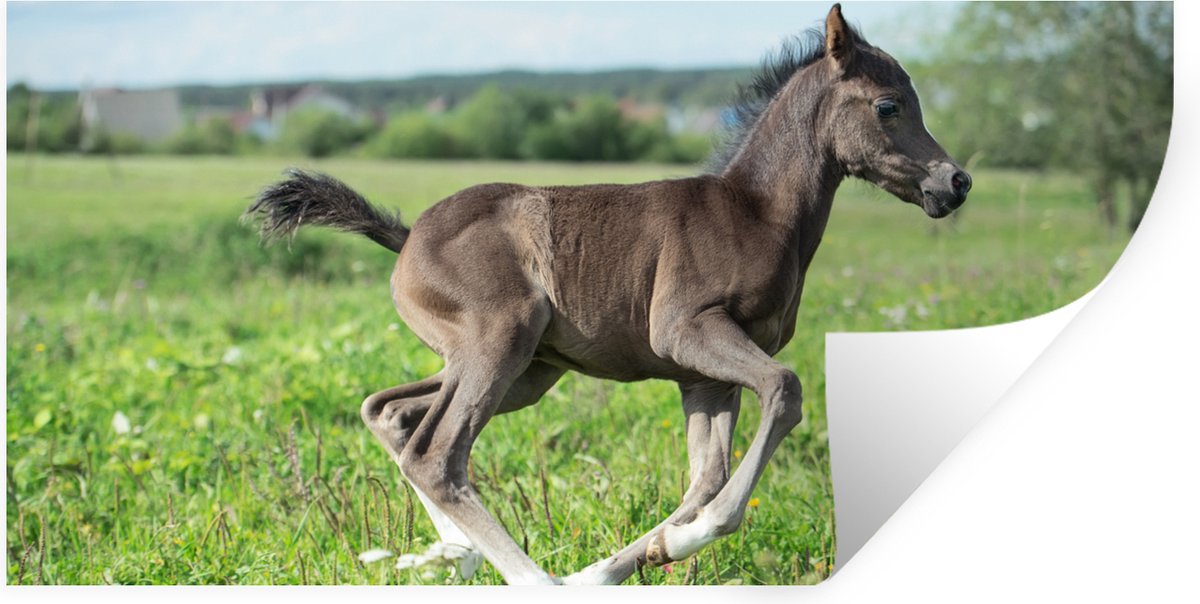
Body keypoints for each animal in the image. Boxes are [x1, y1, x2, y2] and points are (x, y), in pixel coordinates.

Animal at [245, 4, 971, 585]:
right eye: (888, 105)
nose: (954, 182)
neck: (758, 213)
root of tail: (407, 235)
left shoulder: (703, 375)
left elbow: (705, 476)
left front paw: (631, 559)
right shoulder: (687, 331)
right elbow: (785, 391)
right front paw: (649, 552)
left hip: (524, 370)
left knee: (392, 414)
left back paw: (458, 555)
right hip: (500, 340)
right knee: (435, 453)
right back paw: (532, 580)